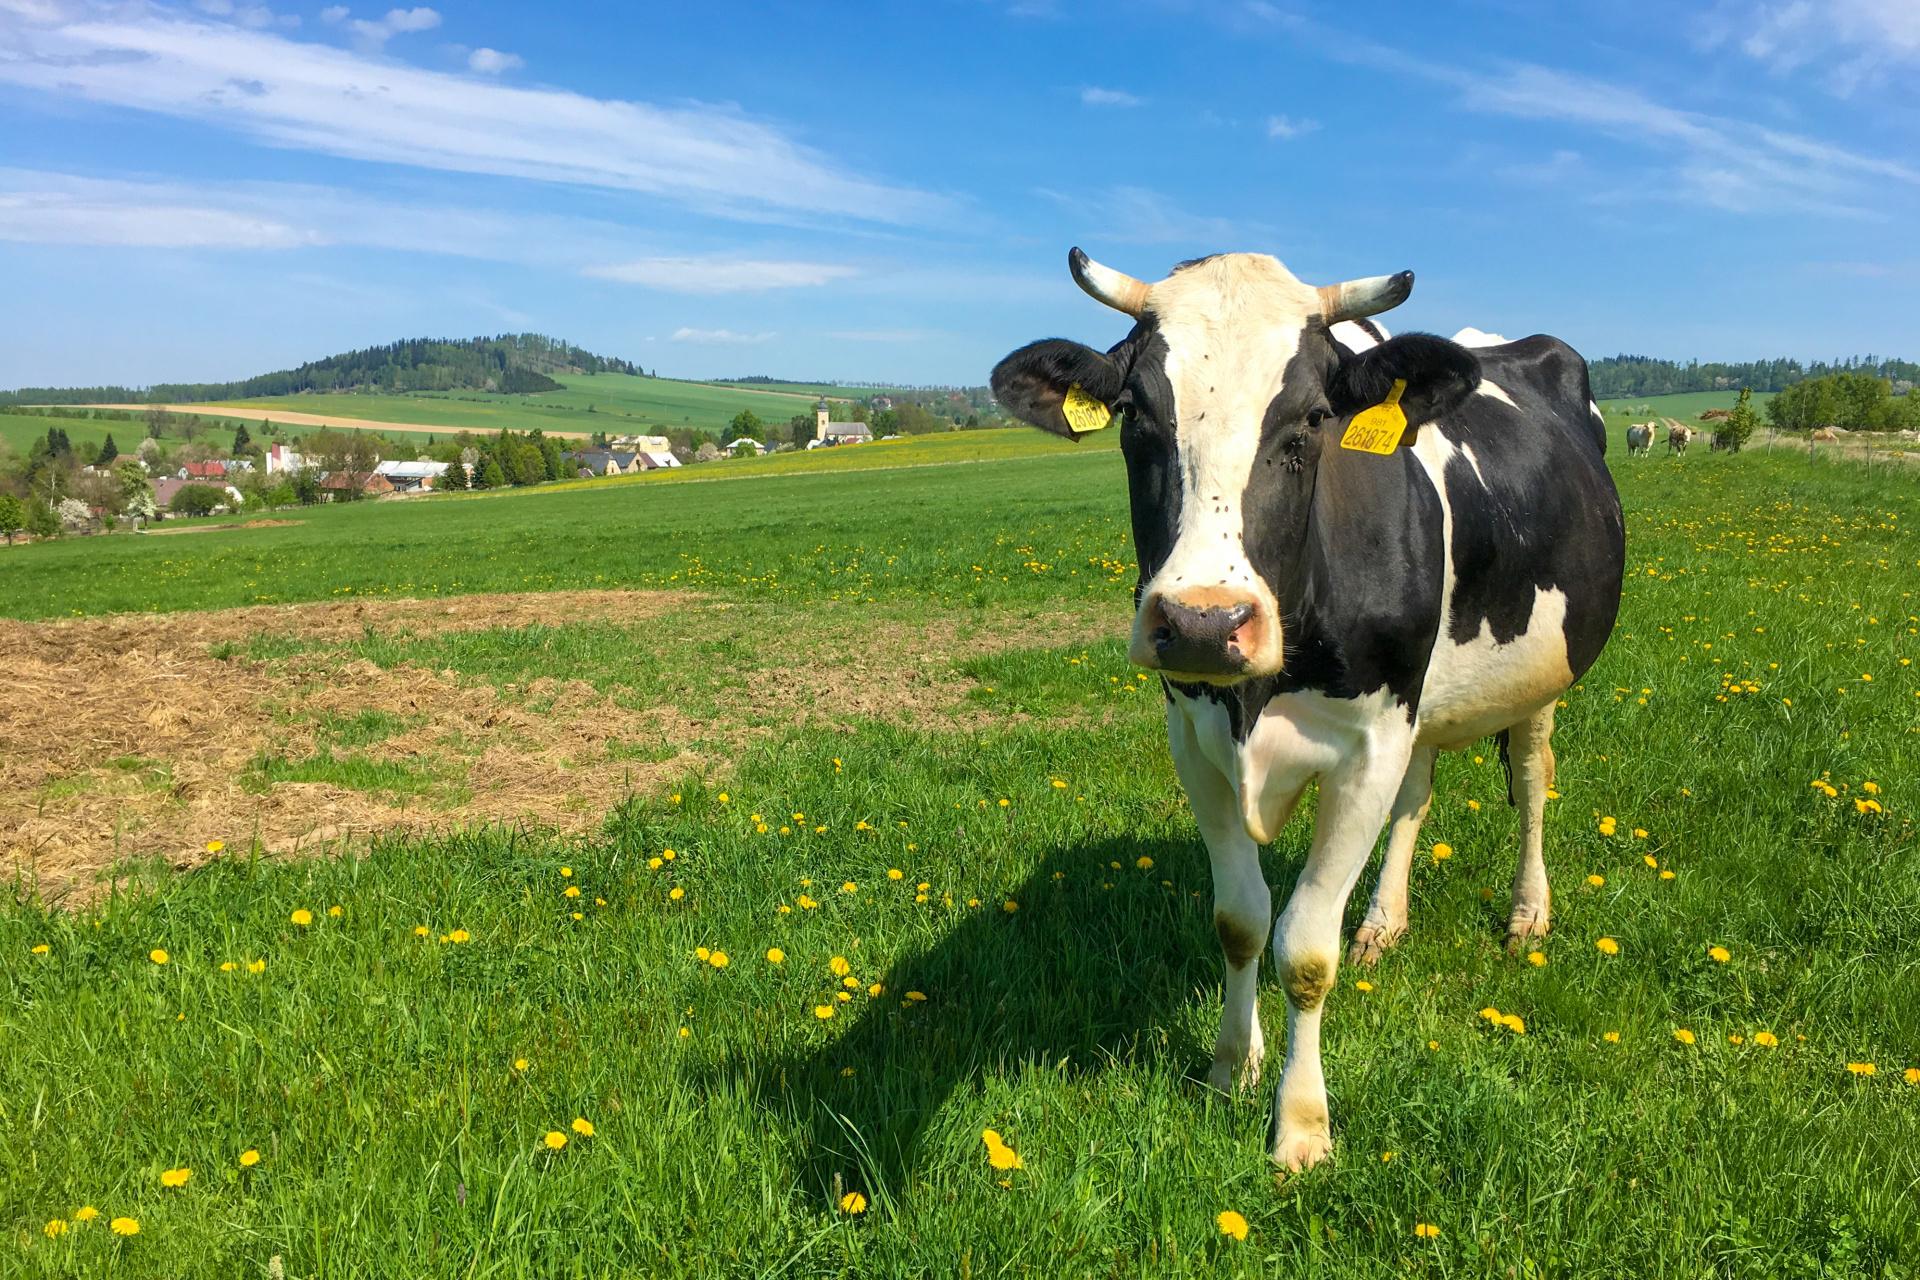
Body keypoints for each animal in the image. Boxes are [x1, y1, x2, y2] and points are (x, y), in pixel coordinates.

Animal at [998, 247, 1628, 1174]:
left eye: (1314, 420)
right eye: (1133, 415)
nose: (1203, 622)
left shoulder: (1368, 745)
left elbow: (1303, 950)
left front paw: (1300, 1125)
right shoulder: (1194, 739)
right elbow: (1240, 921)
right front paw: (1232, 1069)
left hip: (1541, 677)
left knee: (1533, 781)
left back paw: (1526, 914)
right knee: (1418, 795)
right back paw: (1384, 923)